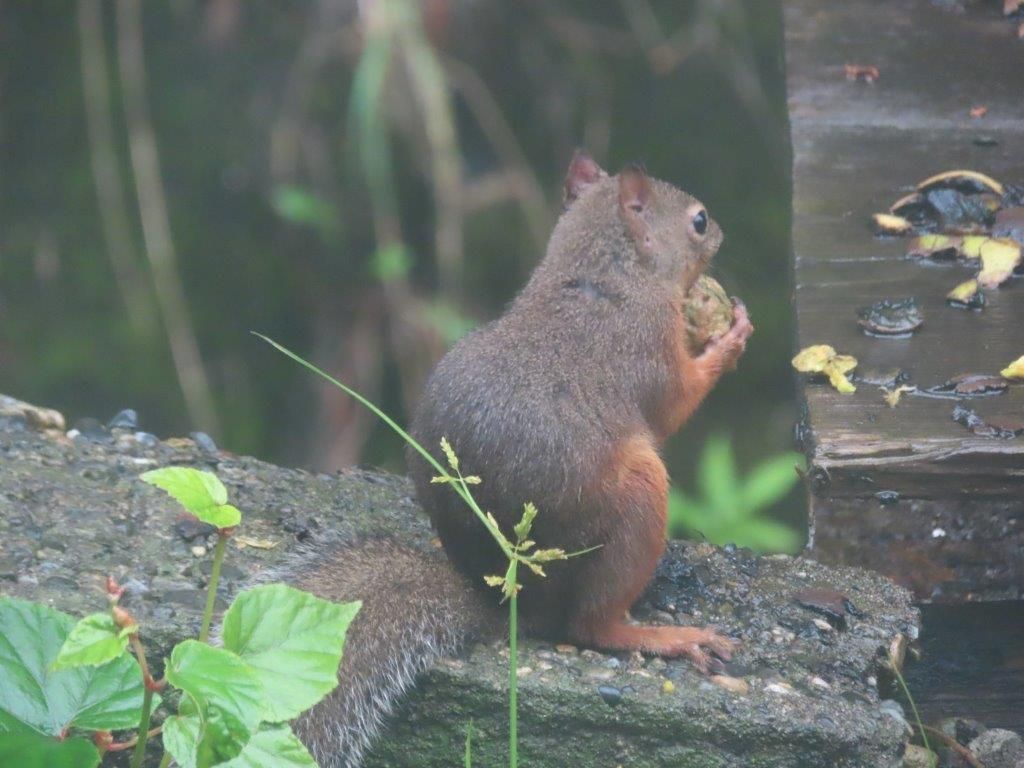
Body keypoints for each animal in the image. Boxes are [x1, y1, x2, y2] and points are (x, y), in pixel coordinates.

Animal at [278, 151, 753, 768]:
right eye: (697, 221)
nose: (719, 232)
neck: (606, 274)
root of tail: (513, 595)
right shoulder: (647, 342)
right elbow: (677, 401)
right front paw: (732, 335)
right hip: (635, 501)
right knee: (590, 627)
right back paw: (660, 636)